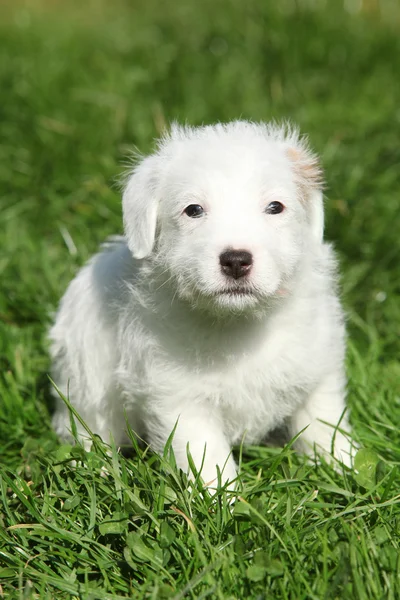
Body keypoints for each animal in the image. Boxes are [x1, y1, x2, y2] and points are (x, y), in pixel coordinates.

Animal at [50, 119, 354, 486]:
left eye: (275, 207)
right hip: (86, 387)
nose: (236, 260)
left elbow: (325, 427)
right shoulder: (181, 402)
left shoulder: (317, 375)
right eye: (193, 210)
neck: (238, 324)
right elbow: (209, 461)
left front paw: (346, 471)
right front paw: (225, 498)